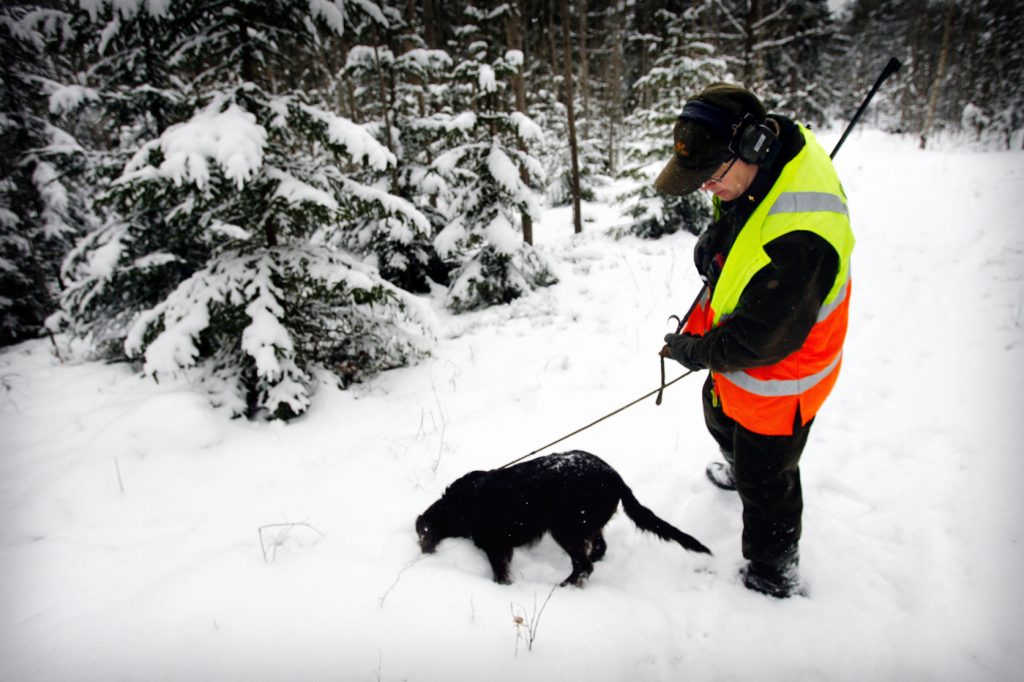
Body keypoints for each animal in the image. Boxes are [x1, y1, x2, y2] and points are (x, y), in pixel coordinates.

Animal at [411, 446, 708, 585]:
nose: (422, 553)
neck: (459, 505)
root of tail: (616, 479)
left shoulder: (496, 547)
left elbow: (500, 574)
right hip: (586, 524)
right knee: (597, 551)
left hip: (565, 528)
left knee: (583, 565)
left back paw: (563, 586)